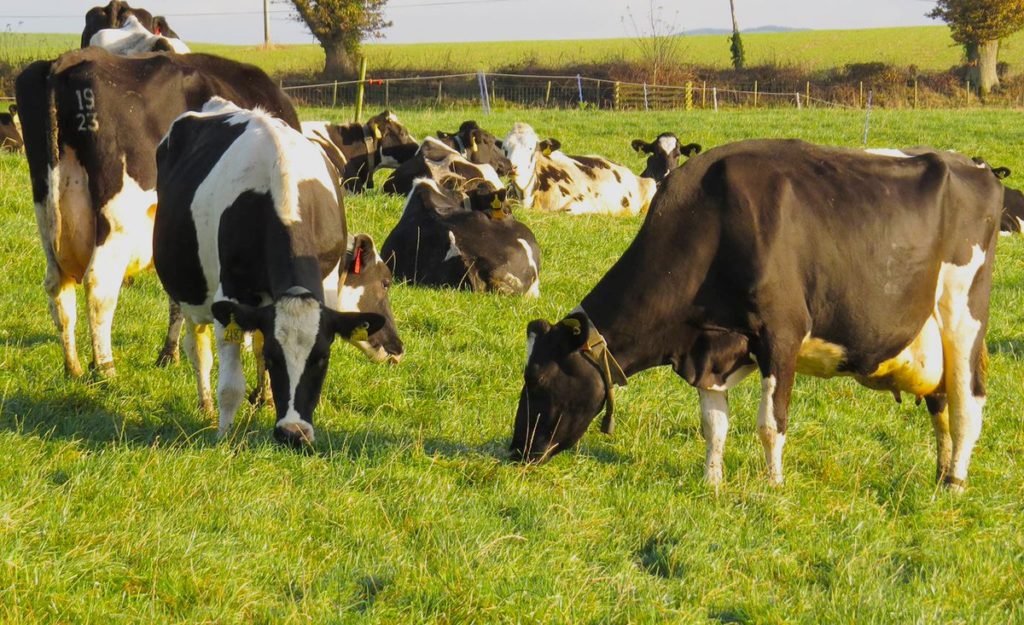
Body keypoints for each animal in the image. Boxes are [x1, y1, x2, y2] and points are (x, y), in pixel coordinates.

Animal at [14, 46, 299, 377]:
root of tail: (67, 61)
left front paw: (169, 354)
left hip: (46, 211)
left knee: (57, 286)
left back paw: (73, 367)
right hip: (117, 216)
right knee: (99, 285)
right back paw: (105, 369)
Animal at [512, 137, 999, 491]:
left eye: (536, 377)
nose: (516, 449)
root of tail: (974, 166)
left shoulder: (781, 333)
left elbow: (770, 423)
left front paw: (773, 486)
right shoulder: (709, 349)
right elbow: (713, 424)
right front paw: (712, 483)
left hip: (963, 314)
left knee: (967, 402)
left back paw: (955, 483)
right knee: (940, 404)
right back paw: (940, 474)